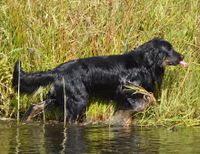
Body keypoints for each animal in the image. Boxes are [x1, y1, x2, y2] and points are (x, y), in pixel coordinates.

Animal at [12, 38, 188, 123]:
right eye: (169, 50)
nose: (182, 56)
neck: (143, 63)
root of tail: (56, 71)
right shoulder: (128, 90)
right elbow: (145, 99)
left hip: (57, 97)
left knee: (34, 106)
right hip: (78, 100)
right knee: (69, 118)